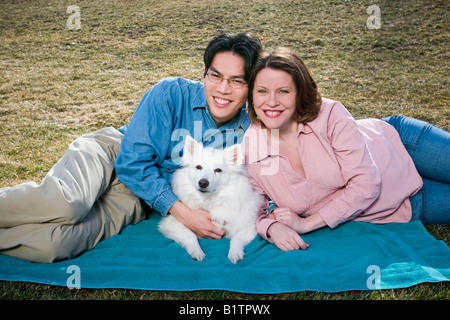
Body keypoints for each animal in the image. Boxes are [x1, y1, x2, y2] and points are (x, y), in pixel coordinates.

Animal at [160, 136, 262, 264]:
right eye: (198, 167)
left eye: (218, 170)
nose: (203, 183)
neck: (210, 201)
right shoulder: (172, 223)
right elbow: (190, 235)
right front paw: (196, 251)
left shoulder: (247, 228)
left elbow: (236, 239)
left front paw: (234, 252)